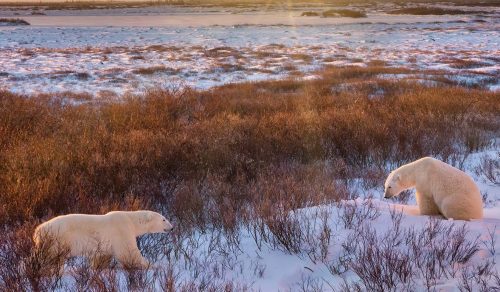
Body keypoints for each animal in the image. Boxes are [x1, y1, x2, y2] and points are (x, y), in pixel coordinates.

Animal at [32, 210, 174, 270]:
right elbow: (129, 253)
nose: (172, 228)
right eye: (164, 219)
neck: (130, 219)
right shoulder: (121, 230)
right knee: (51, 258)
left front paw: (98, 268)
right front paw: (153, 265)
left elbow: (102, 255)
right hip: (57, 239)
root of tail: (38, 231)